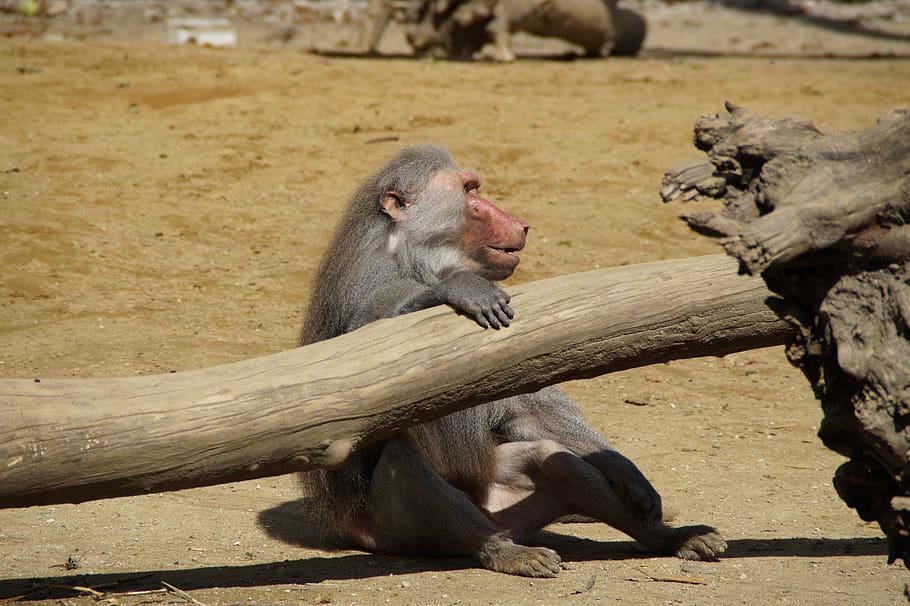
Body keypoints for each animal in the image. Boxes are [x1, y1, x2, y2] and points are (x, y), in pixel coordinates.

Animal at [297, 144, 727, 577]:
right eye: (469, 191)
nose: (521, 224)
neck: (415, 256)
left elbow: (525, 411)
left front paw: (626, 472)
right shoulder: (372, 285)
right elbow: (358, 373)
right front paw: (460, 287)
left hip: (506, 500)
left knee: (555, 461)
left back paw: (671, 538)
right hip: (397, 530)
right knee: (406, 461)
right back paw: (502, 552)